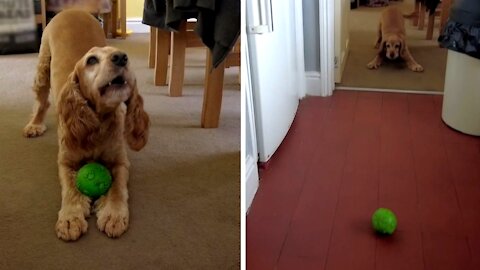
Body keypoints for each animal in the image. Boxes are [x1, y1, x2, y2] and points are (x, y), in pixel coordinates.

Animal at [22, 8, 149, 240]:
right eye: (91, 60)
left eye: (122, 54)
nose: (122, 58)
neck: (97, 120)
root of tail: (74, 9)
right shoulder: (65, 162)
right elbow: (71, 189)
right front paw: (70, 218)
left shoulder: (120, 162)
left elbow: (117, 188)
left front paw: (113, 214)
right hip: (43, 65)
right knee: (42, 101)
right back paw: (34, 125)